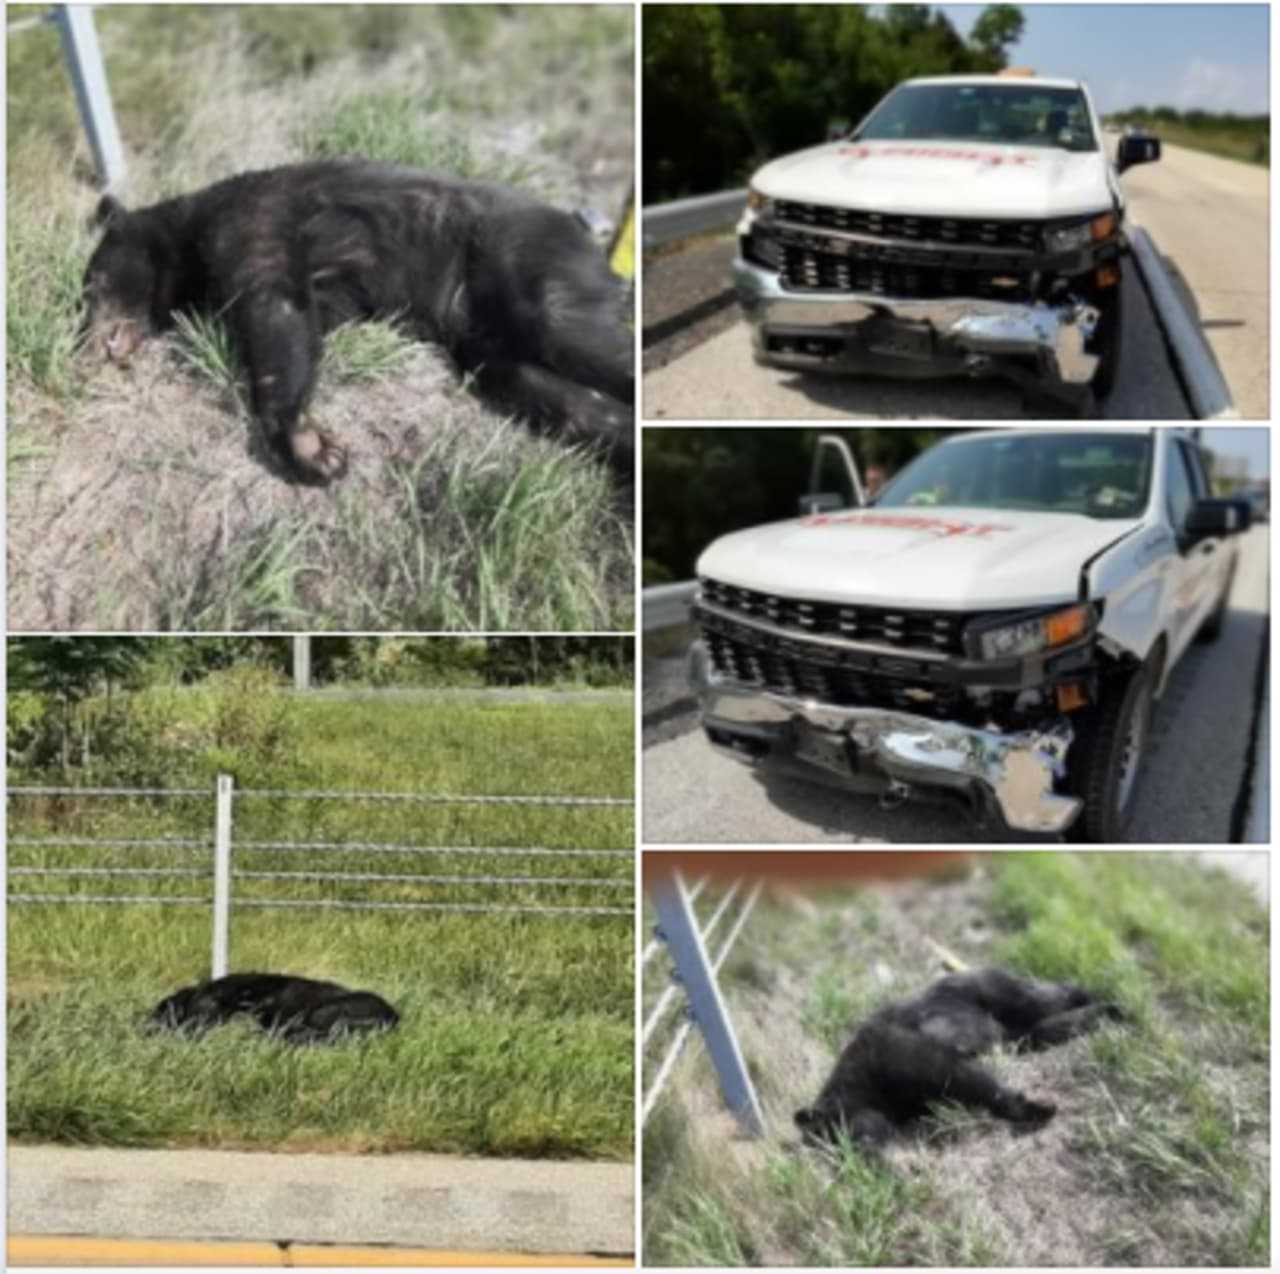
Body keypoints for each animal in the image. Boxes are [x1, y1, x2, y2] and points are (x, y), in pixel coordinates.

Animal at [82, 163, 632, 489]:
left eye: (91, 286)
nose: (89, 344)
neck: (190, 232)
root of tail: (579, 226)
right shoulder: (331, 294)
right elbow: (308, 324)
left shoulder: (253, 220)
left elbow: (275, 311)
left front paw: (307, 446)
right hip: (486, 334)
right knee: (543, 387)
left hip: (522, 252)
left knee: (574, 334)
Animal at [793, 973, 1126, 1152]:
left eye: (838, 1136)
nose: (863, 1158)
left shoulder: (923, 1062)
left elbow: (982, 1088)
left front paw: (1027, 1109)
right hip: (1021, 1036)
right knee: (1049, 1028)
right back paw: (1104, 1013)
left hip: (1001, 990)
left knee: (1048, 997)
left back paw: (1107, 1000)